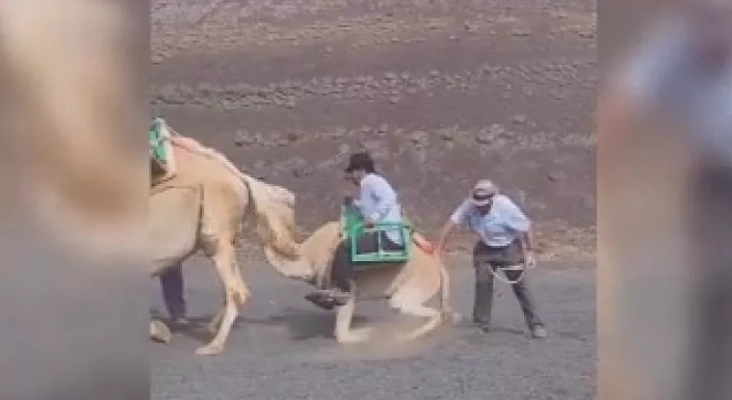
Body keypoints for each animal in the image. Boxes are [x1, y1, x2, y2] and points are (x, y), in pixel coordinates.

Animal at [260, 219, 460, 344]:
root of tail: (437, 264)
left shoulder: (343, 284)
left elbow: (343, 326)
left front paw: (363, 334)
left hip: (418, 282)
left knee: (406, 306)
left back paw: (407, 337)